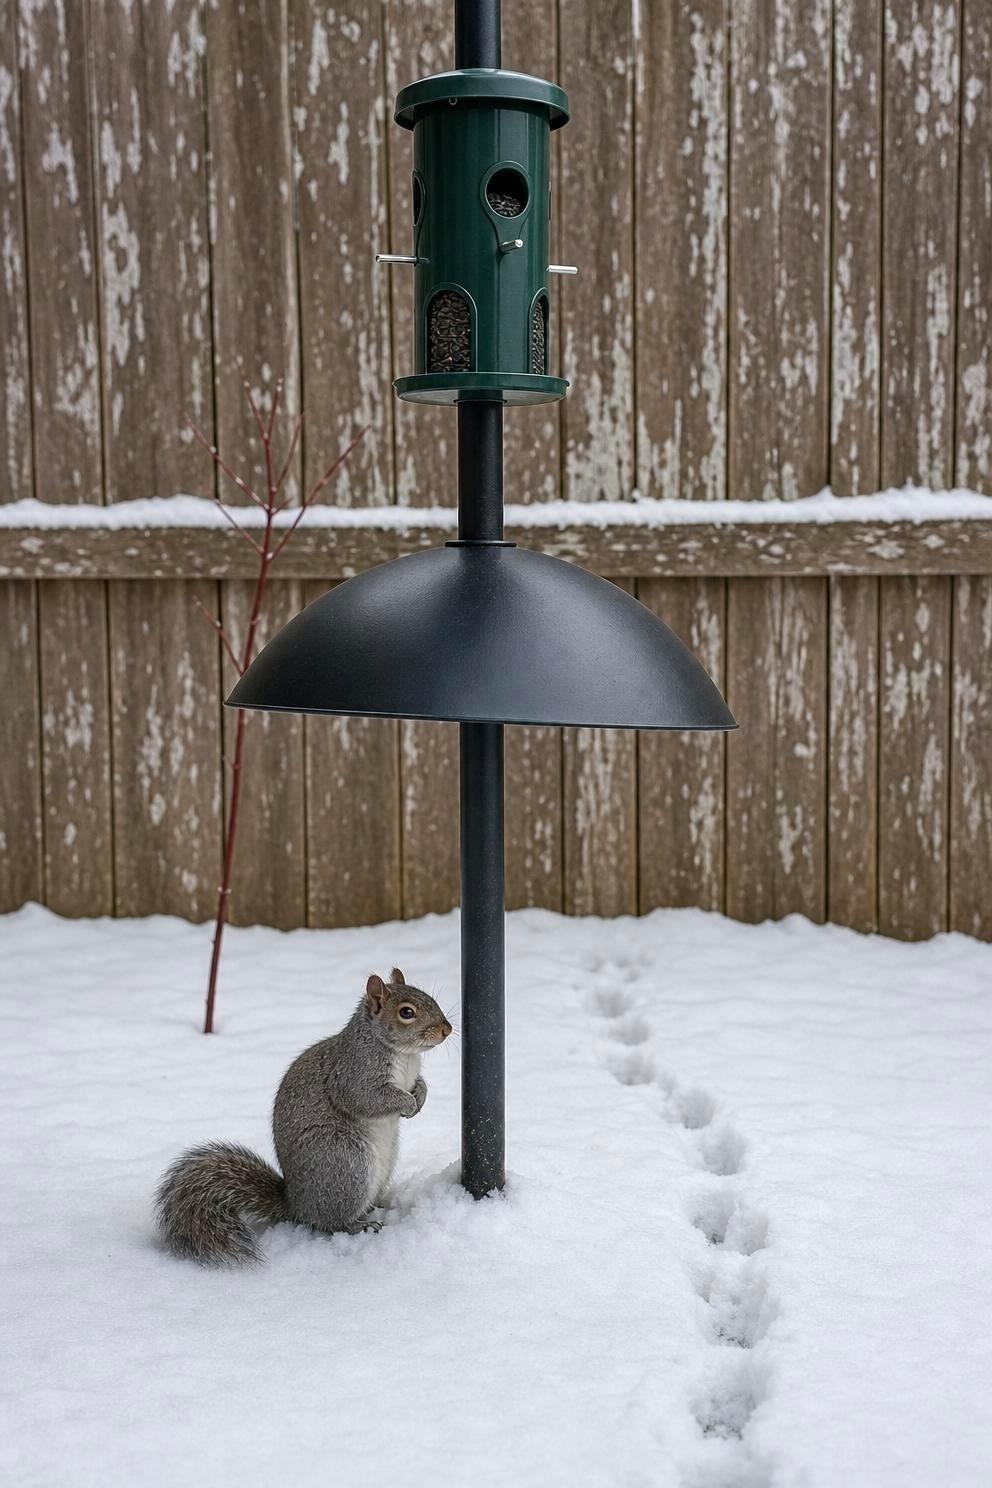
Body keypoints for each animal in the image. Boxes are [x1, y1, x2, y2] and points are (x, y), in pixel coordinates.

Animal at [155, 969, 452, 1266]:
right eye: (406, 1012)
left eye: (429, 997)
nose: (446, 1029)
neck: (404, 1055)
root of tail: (296, 1204)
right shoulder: (353, 1074)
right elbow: (365, 1098)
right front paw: (408, 1103)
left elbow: (419, 1083)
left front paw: (420, 1095)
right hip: (346, 1162)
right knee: (331, 1221)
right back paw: (360, 1225)